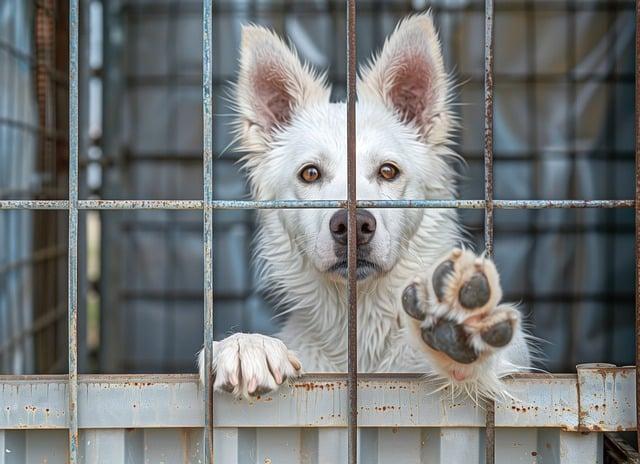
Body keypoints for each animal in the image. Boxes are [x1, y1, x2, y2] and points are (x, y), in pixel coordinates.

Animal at [198, 13, 532, 398]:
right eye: (310, 173)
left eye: (388, 171)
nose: (353, 226)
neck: (360, 332)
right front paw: (245, 344)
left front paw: (458, 324)